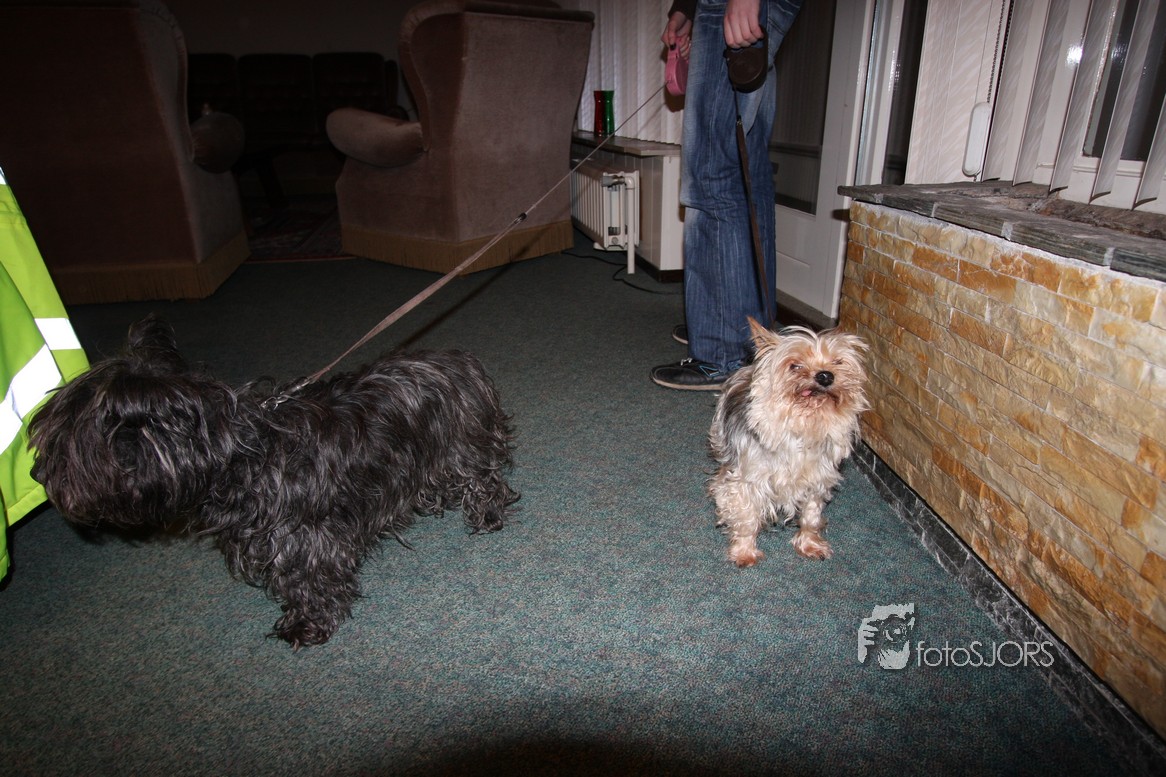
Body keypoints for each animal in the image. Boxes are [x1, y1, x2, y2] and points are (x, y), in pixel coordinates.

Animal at [28, 316, 519, 647]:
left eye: (62, 443)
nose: (36, 474)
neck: (237, 452)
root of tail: (460, 360)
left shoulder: (305, 540)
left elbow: (308, 583)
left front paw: (307, 624)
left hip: (464, 446)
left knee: (485, 480)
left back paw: (486, 515)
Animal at [709, 318, 868, 566]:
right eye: (795, 365)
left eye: (837, 362)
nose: (825, 376)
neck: (803, 428)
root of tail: (749, 368)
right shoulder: (750, 479)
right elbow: (746, 517)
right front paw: (744, 551)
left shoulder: (817, 480)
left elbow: (811, 516)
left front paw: (810, 544)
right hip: (723, 440)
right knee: (723, 471)